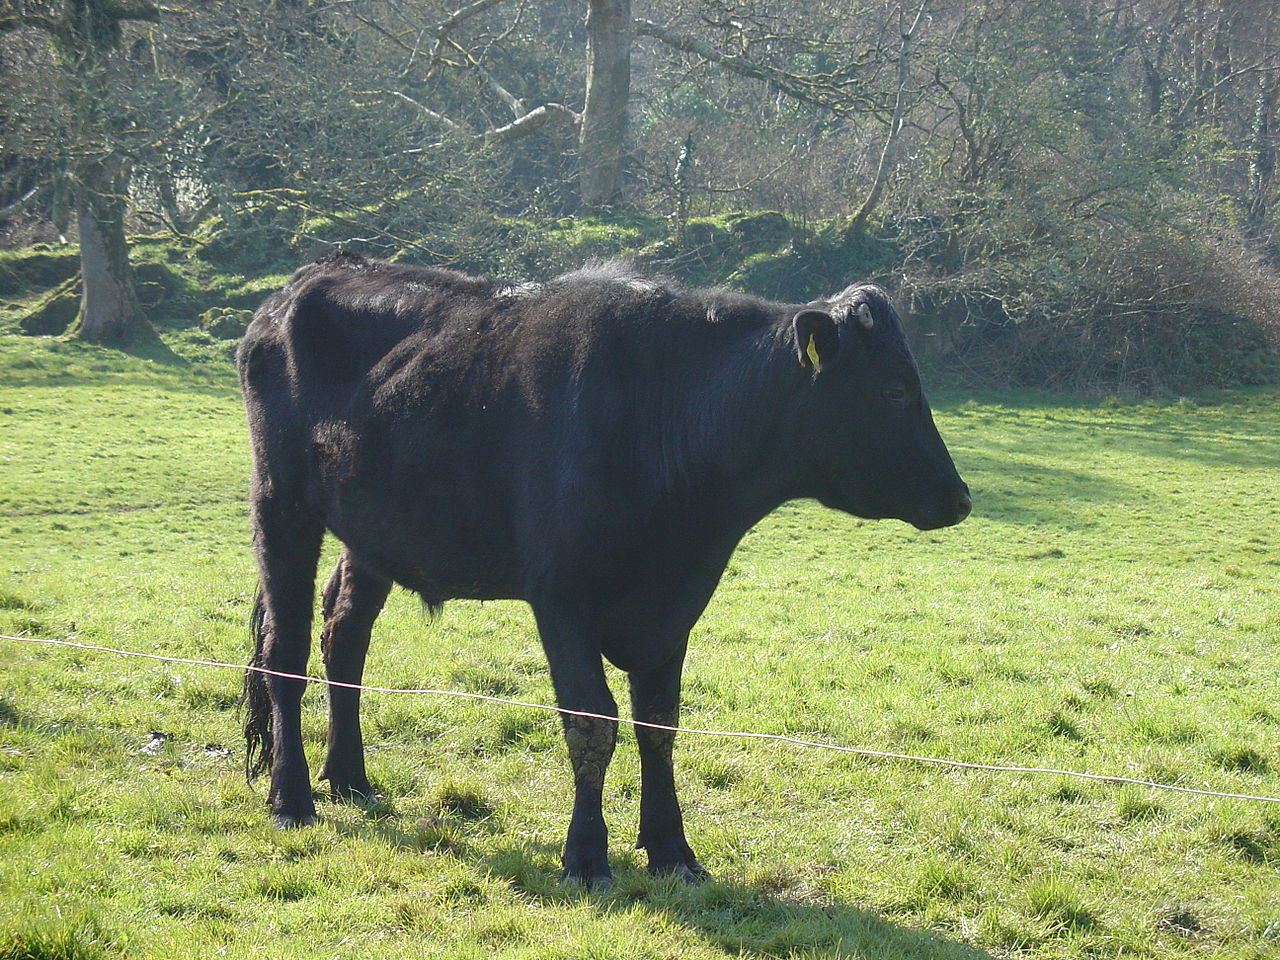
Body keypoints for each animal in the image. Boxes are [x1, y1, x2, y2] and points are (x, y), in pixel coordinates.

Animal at [238, 252, 970, 889]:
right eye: (895, 388)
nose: (960, 497)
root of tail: (309, 277)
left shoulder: (674, 603)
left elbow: (659, 723)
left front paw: (672, 849)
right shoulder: (561, 594)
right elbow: (591, 720)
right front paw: (587, 855)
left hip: (373, 531)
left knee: (345, 638)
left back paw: (349, 776)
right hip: (282, 504)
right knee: (286, 650)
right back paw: (293, 797)